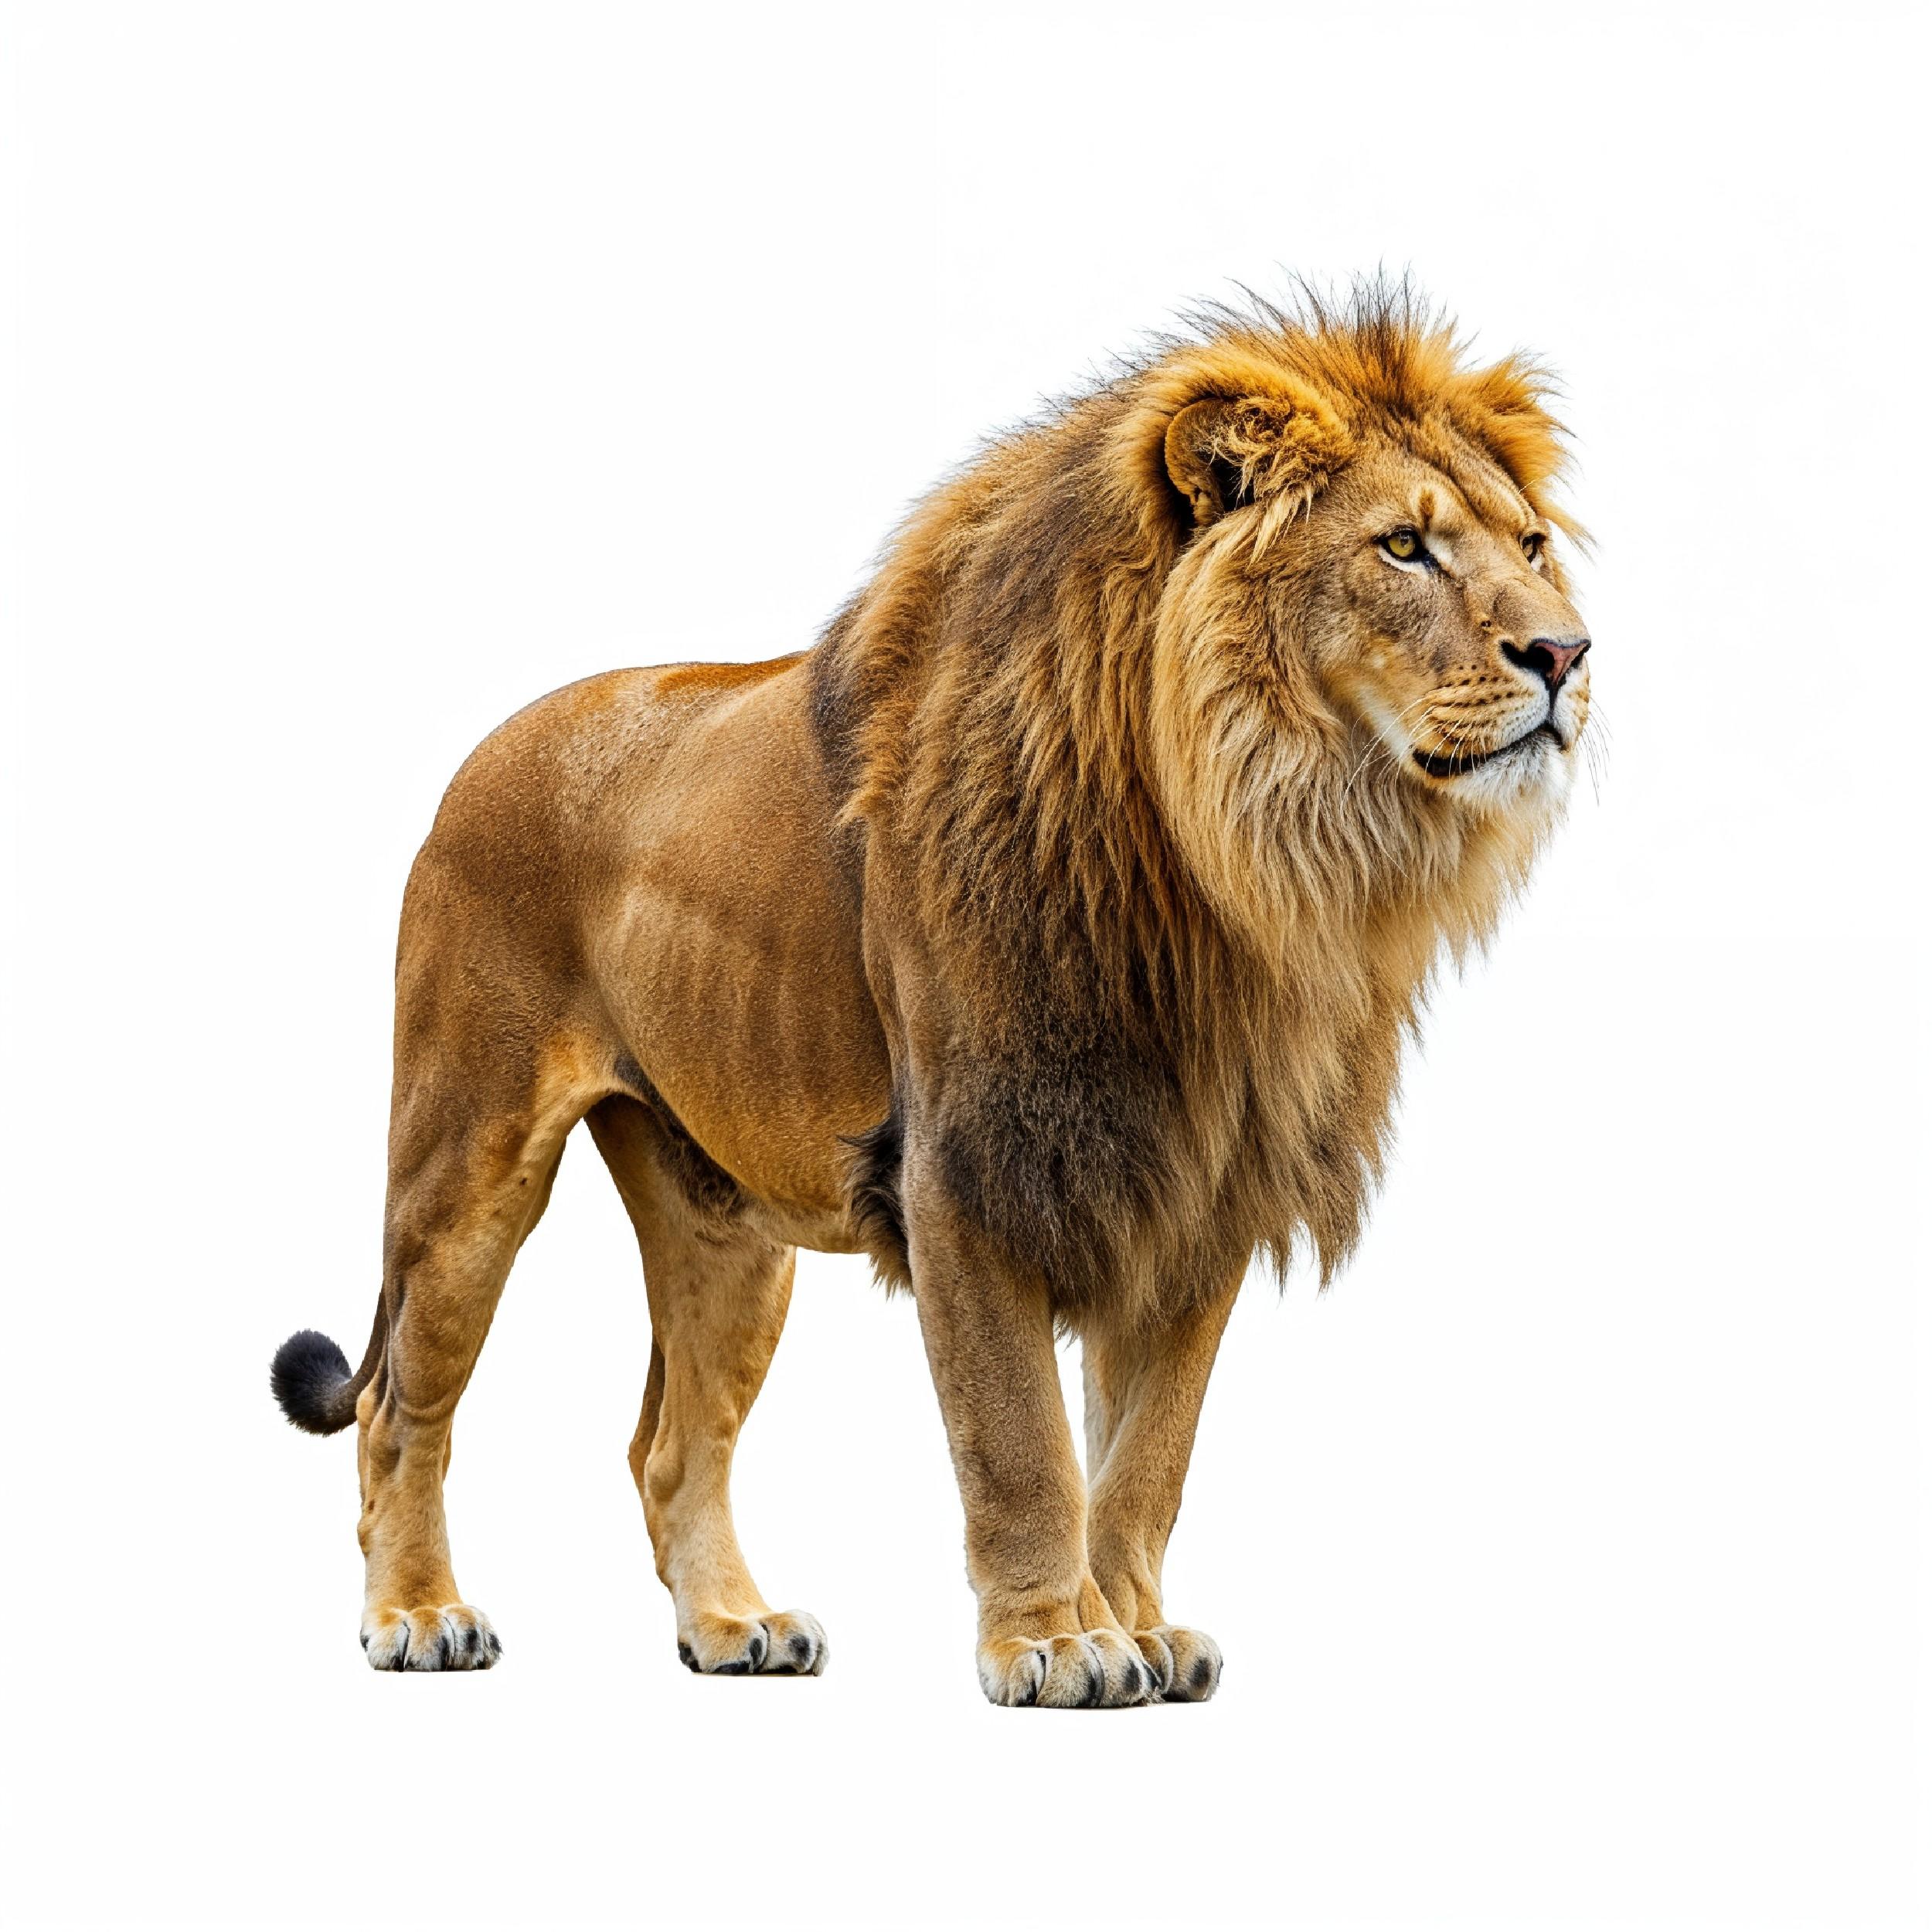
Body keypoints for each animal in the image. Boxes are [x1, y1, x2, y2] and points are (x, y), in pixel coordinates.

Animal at [271, 284, 1592, 1706]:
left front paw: (1138, 1629)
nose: (1568, 651)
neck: (1239, 862)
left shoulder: (1198, 1189)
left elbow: (1146, 1458)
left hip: (726, 1224)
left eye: (1530, 544)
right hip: (467, 1162)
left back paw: (732, 1627)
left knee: (670, 1446)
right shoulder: (967, 1168)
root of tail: (488, 747)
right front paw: (1057, 1644)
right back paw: (420, 1617)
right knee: (402, 1407)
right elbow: (1020, 1444)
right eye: (1403, 547)